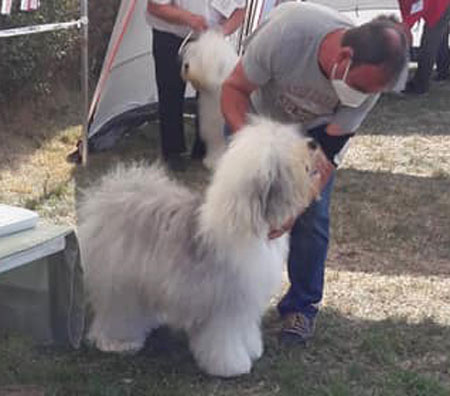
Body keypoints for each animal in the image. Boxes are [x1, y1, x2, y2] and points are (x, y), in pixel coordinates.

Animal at [78, 117, 320, 378]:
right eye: (288, 151)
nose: (313, 144)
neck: (248, 223)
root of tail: (112, 193)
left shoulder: (246, 301)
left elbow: (246, 329)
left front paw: (253, 349)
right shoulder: (227, 304)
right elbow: (226, 339)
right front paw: (232, 365)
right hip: (120, 281)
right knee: (117, 312)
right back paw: (117, 342)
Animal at [180, 29, 239, 169]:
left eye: (201, 58)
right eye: (192, 54)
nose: (186, 65)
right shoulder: (212, 126)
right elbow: (215, 145)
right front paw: (211, 161)